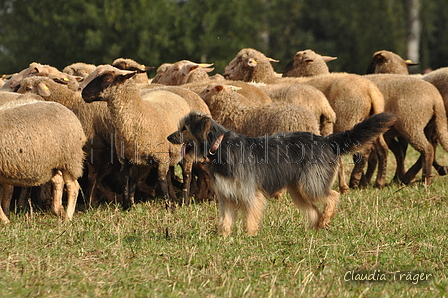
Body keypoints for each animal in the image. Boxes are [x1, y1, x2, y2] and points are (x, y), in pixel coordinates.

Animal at [0, 94, 86, 222]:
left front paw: (5, 221)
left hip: (69, 158)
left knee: (73, 186)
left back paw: (68, 217)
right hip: (51, 164)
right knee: (58, 180)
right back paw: (58, 210)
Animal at [80, 66, 191, 208]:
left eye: (107, 79)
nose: (84, 93)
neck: (139, 114)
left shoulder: (161, 158)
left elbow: (161, 181)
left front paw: (169, 207)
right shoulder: (127, 159)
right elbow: (127, 181)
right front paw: (127, 206)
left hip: (185, 151)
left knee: (186, 174)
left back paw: (185, 201)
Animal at [168, 110, 396, 236]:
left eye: (184, 128)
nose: (169, 138)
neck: (219, 147)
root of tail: (325, 140)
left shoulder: (251, 194)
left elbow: (250, 218)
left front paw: (248, 236)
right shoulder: (227, 197)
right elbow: (225, 222)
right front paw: (222, 238)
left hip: (311, 184)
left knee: (333, 195)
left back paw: (325, 220)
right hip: (299, 189)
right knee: (314, 209)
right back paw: (318, 225)